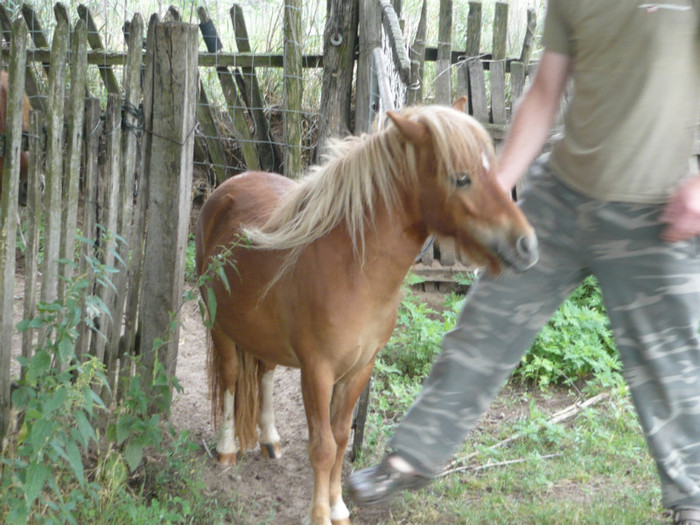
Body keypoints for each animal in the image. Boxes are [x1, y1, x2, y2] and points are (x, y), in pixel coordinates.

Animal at [194, 99, 540, 524]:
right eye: (462, 178)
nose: (526, 245)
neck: (352, 268)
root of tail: (223, 192)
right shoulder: (318, 371)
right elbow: (323, 446)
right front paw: (319, 514)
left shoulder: (360, 368)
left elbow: (342, 439)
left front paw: (338, 506)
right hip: (219, 327)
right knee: (229, 381)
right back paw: (227, 448)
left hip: (262, 335)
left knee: (264, 374)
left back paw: (270, 440)